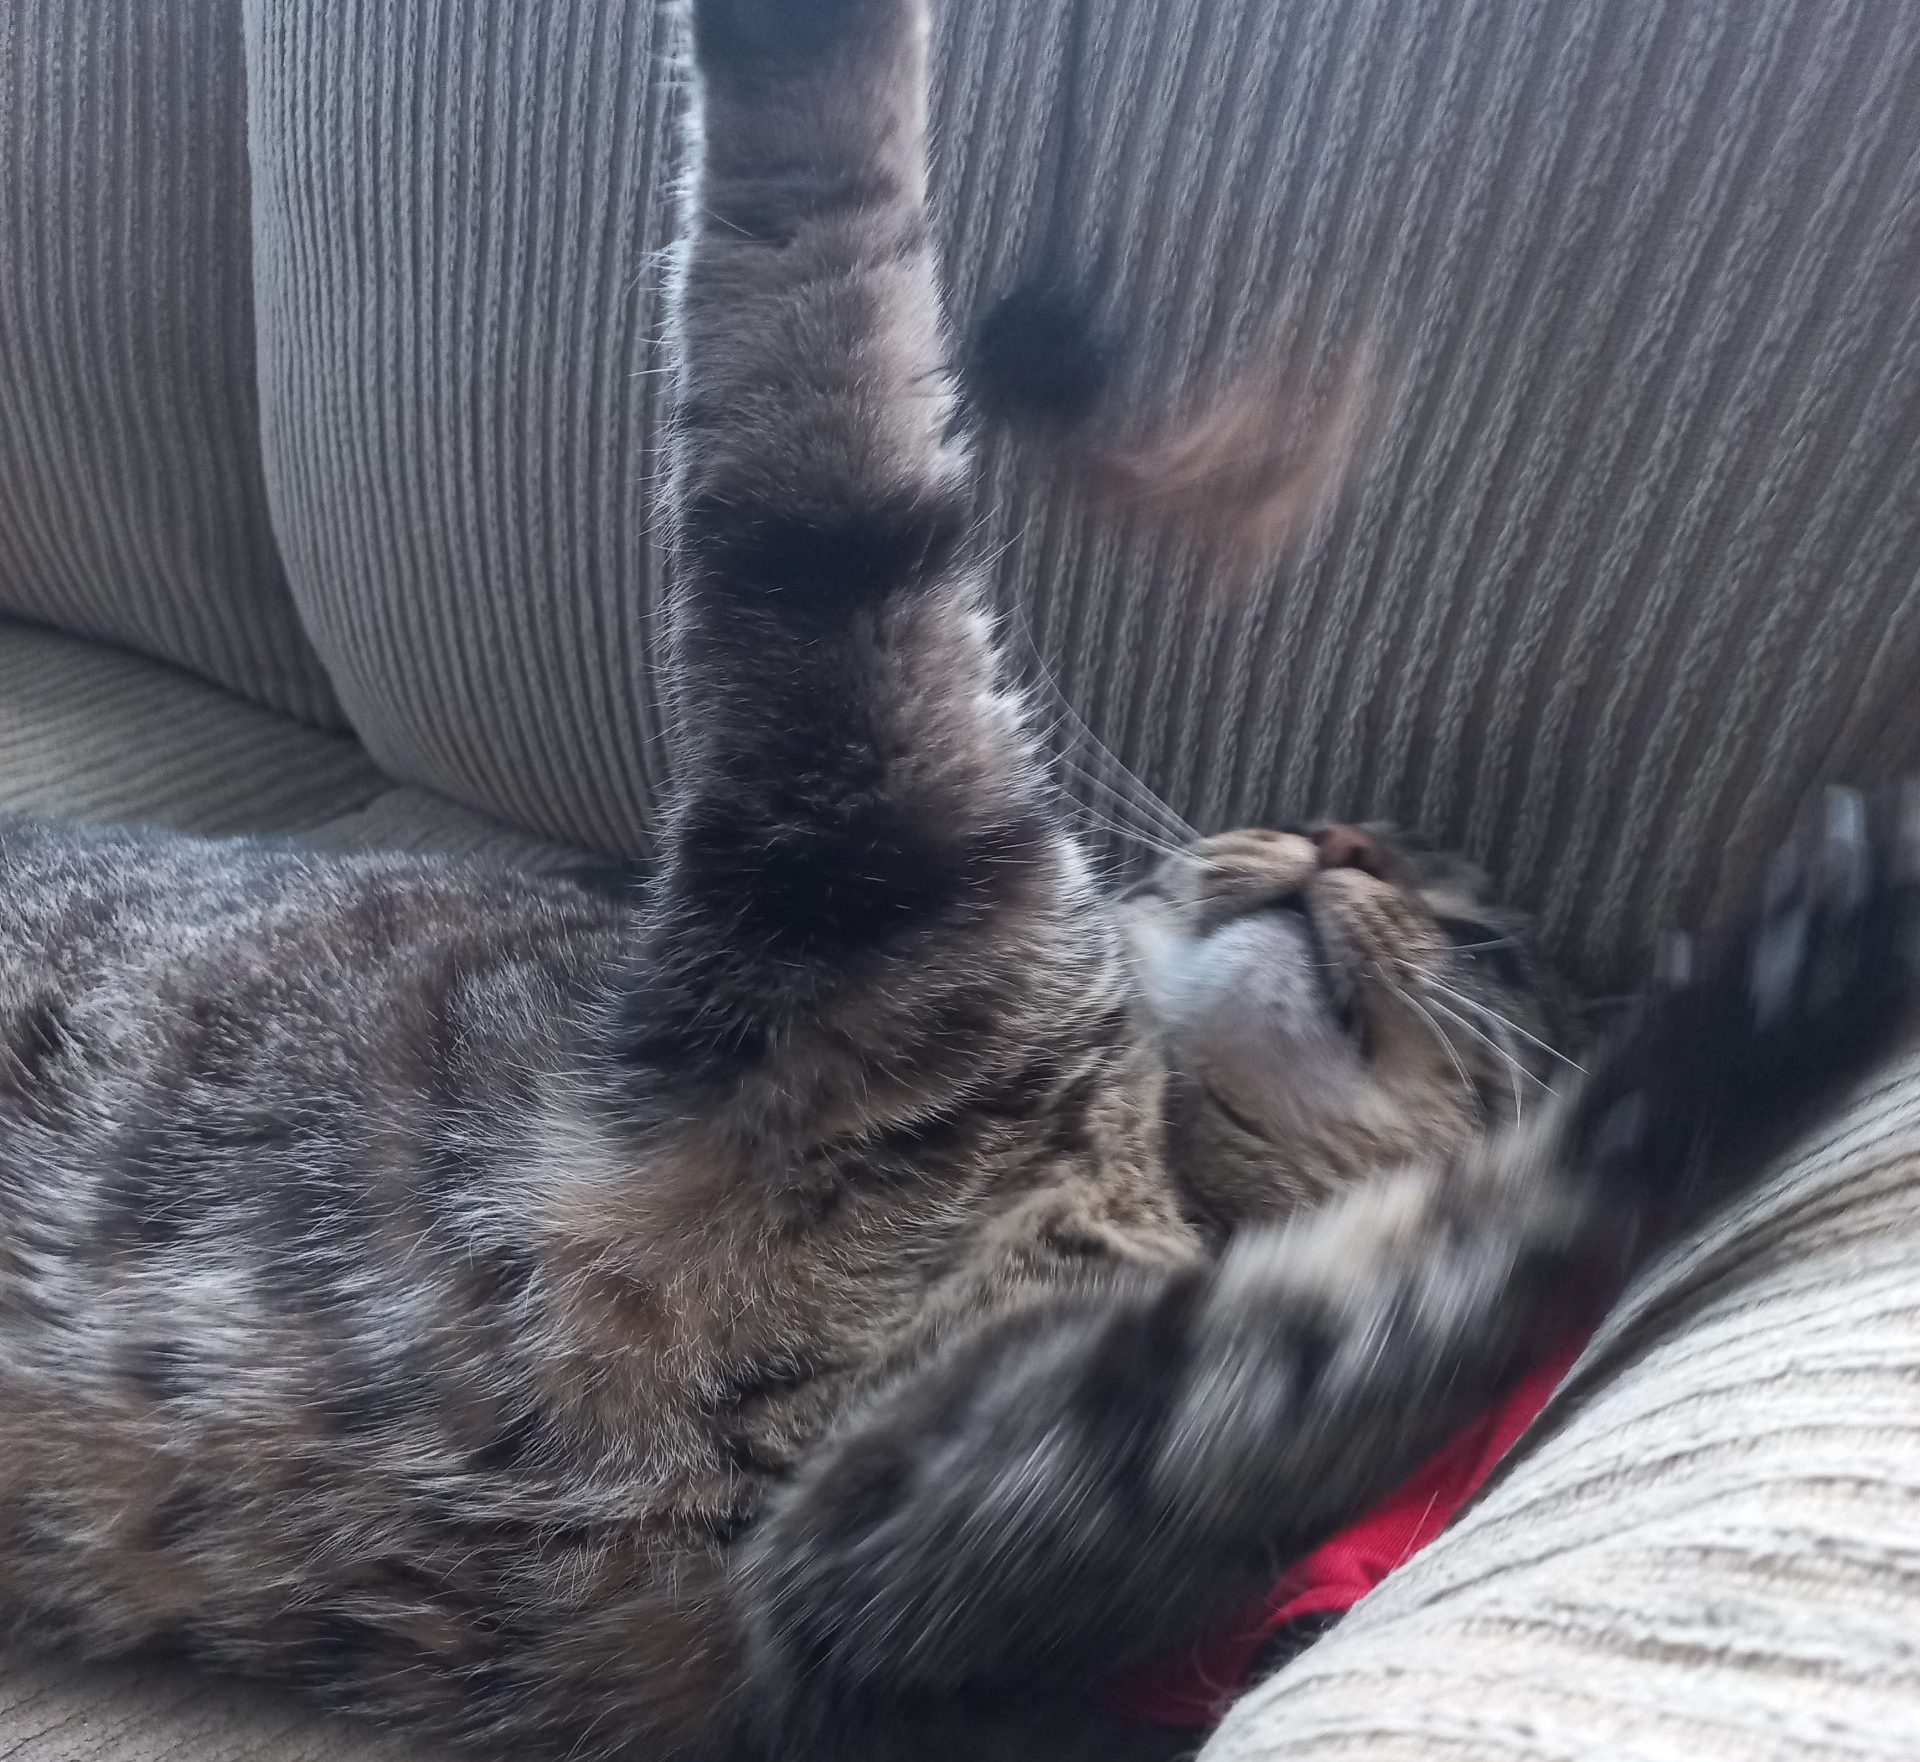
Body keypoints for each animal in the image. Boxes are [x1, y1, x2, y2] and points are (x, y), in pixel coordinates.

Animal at [3, 3, 1920, 1762]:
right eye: (1313, 817)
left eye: (1489, 934)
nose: (1349, 842)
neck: (1143, 1151)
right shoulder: (855, 766)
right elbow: (828, 242)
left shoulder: (921, 1508)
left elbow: (1437, 1263)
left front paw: (1791, 980)